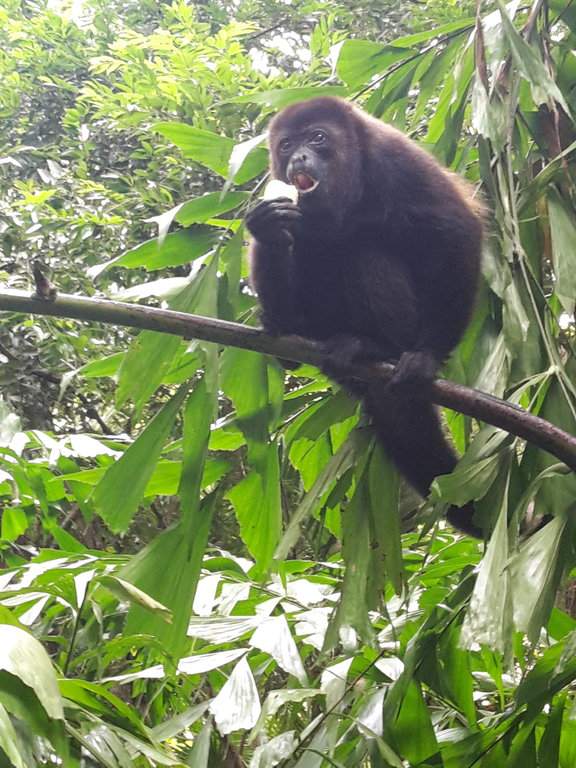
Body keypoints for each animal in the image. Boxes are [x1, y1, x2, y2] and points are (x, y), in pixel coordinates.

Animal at [245, 96, 484, 537]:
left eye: (317, 138)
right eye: (286, 146)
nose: (298, 156)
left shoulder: (397, 160)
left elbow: (459, 230)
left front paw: (428, 355)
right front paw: (267, 227)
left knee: (365, 252)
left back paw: (374, 347)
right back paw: (289, 332)